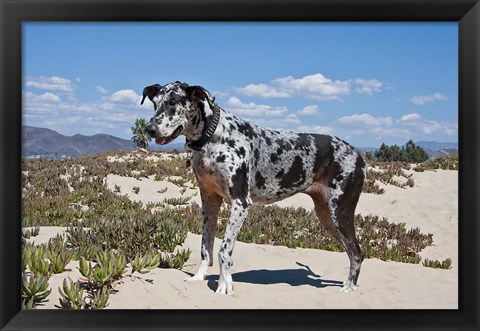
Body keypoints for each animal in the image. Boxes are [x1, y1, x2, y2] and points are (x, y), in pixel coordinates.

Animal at [141, 81, 366, 294]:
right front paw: (199, 277)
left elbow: (224, 250)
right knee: (351, 251)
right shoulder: (209, 202)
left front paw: (224, 283)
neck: (213, 138)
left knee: (356, 253)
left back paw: (350, 287)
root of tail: (358, 154)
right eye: (155, 103)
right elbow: (206, 247)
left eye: (172, 102)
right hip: (326, 215)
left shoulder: (240, 203)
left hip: (340, 212)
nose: (149, 129)